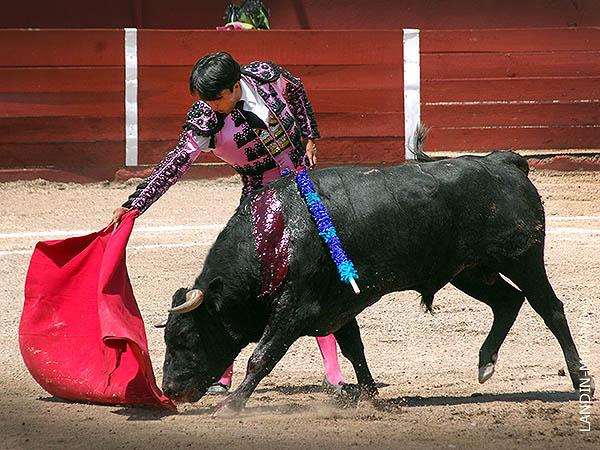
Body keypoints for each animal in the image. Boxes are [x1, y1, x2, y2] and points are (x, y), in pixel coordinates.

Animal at [161, 150, 596, 414]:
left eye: (185, 336)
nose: (169, 390)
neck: (274, 239)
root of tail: (503, 162)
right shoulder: (338, 305)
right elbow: (355, 348)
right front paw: (368, 397)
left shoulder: (295, 308)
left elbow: (262, 355)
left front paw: (230, 406)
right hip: (470, 271)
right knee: (507, 302)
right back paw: (485, 362)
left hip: (523, 260)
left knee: (550, 309)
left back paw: (580, 378)